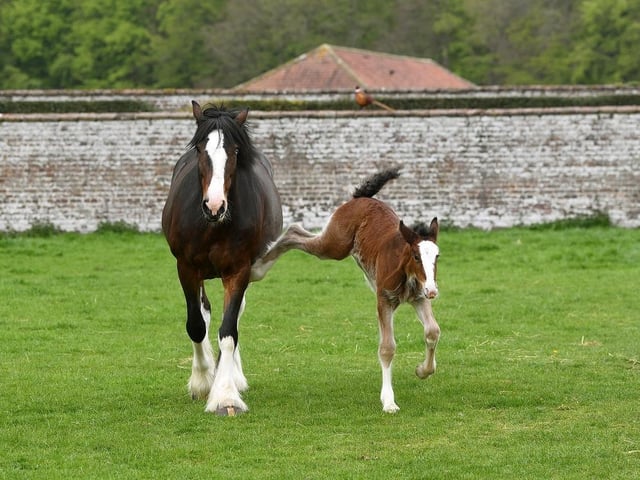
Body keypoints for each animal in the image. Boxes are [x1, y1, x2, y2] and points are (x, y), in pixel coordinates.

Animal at [162, 101, 282, 416]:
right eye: (199, 149)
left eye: (236, 151)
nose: (214, 206)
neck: (213, 225)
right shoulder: (186, 267)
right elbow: (196, 324)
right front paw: (203, 381)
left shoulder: (239, 270)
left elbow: (229, 330)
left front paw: (225, 394)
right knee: (203, 312)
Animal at [255, 167, 440, 413]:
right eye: (416, 256)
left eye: (437, 256)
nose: (433, 290)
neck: (406, 271)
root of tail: (359, 198)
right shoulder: (384, 300)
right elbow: (387, 348)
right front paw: (389, 401)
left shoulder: (418, 297)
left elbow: (432, 331)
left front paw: (423, 370)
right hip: (335, 245)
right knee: (294, 231)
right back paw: (259, 264)